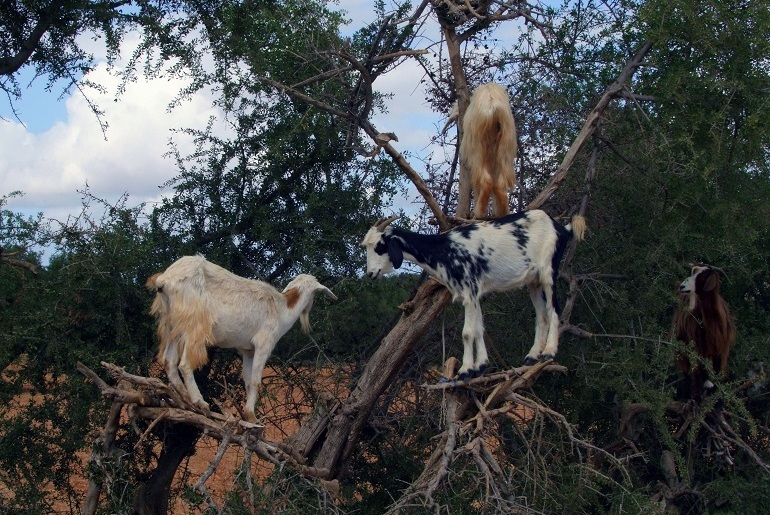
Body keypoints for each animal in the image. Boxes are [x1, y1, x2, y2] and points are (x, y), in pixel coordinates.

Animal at [145, 256, 336, 424]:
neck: (282, 308)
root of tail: (164, 280)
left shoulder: (248, 350)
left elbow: (247, 381)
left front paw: (248, 414)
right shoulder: (263, 344)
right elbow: (256, 380)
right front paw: (253, 417)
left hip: (172, 324)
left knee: (169, 361)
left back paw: (186, 401)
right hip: (194, 324)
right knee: (184, 364)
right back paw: (201, 403)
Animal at [358, 211, 584, 378]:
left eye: (379, 246)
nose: (370, 273)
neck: (446, 250)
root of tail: (561, 227)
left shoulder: (469, 290)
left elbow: (467, 332)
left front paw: (466, 370)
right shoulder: (474, 294)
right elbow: (478, 329)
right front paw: (480, 366)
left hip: (548, 271)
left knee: (553, 310)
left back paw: (549, 351)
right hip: (533, 281)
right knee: (541, 315)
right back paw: (532, 356)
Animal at [444, 81, 516, 219]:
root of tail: (492, 107)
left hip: (477, 147)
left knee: (484, 180)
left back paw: (479, 213)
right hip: (506, 143)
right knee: (500, 183)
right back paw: (502, 212)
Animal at [668, 266, 736, 400]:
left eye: (703, 276)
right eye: (693, 272)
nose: (682, 286)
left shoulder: (721, 350)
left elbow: (717, 372)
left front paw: (716, 396)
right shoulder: (698, 349)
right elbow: (701, 372)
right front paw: (705, 390)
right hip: (683, 349)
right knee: (689, 372)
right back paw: (692, 396)